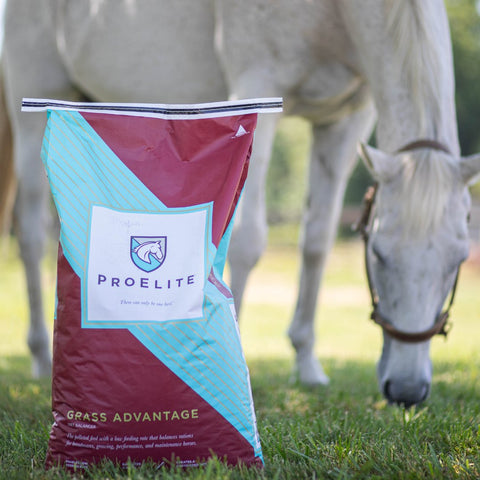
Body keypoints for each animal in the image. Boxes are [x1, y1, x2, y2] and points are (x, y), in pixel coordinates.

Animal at [0, 0, 480, 404]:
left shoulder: (345, 122)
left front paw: (307, 364)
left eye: (459, 260)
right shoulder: (258, 84)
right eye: (378, 254)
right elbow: (249, 241)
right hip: (35, 108)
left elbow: (317, 243)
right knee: (31, 233)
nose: (407, 390)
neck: (337, 13)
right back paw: (42, 355)